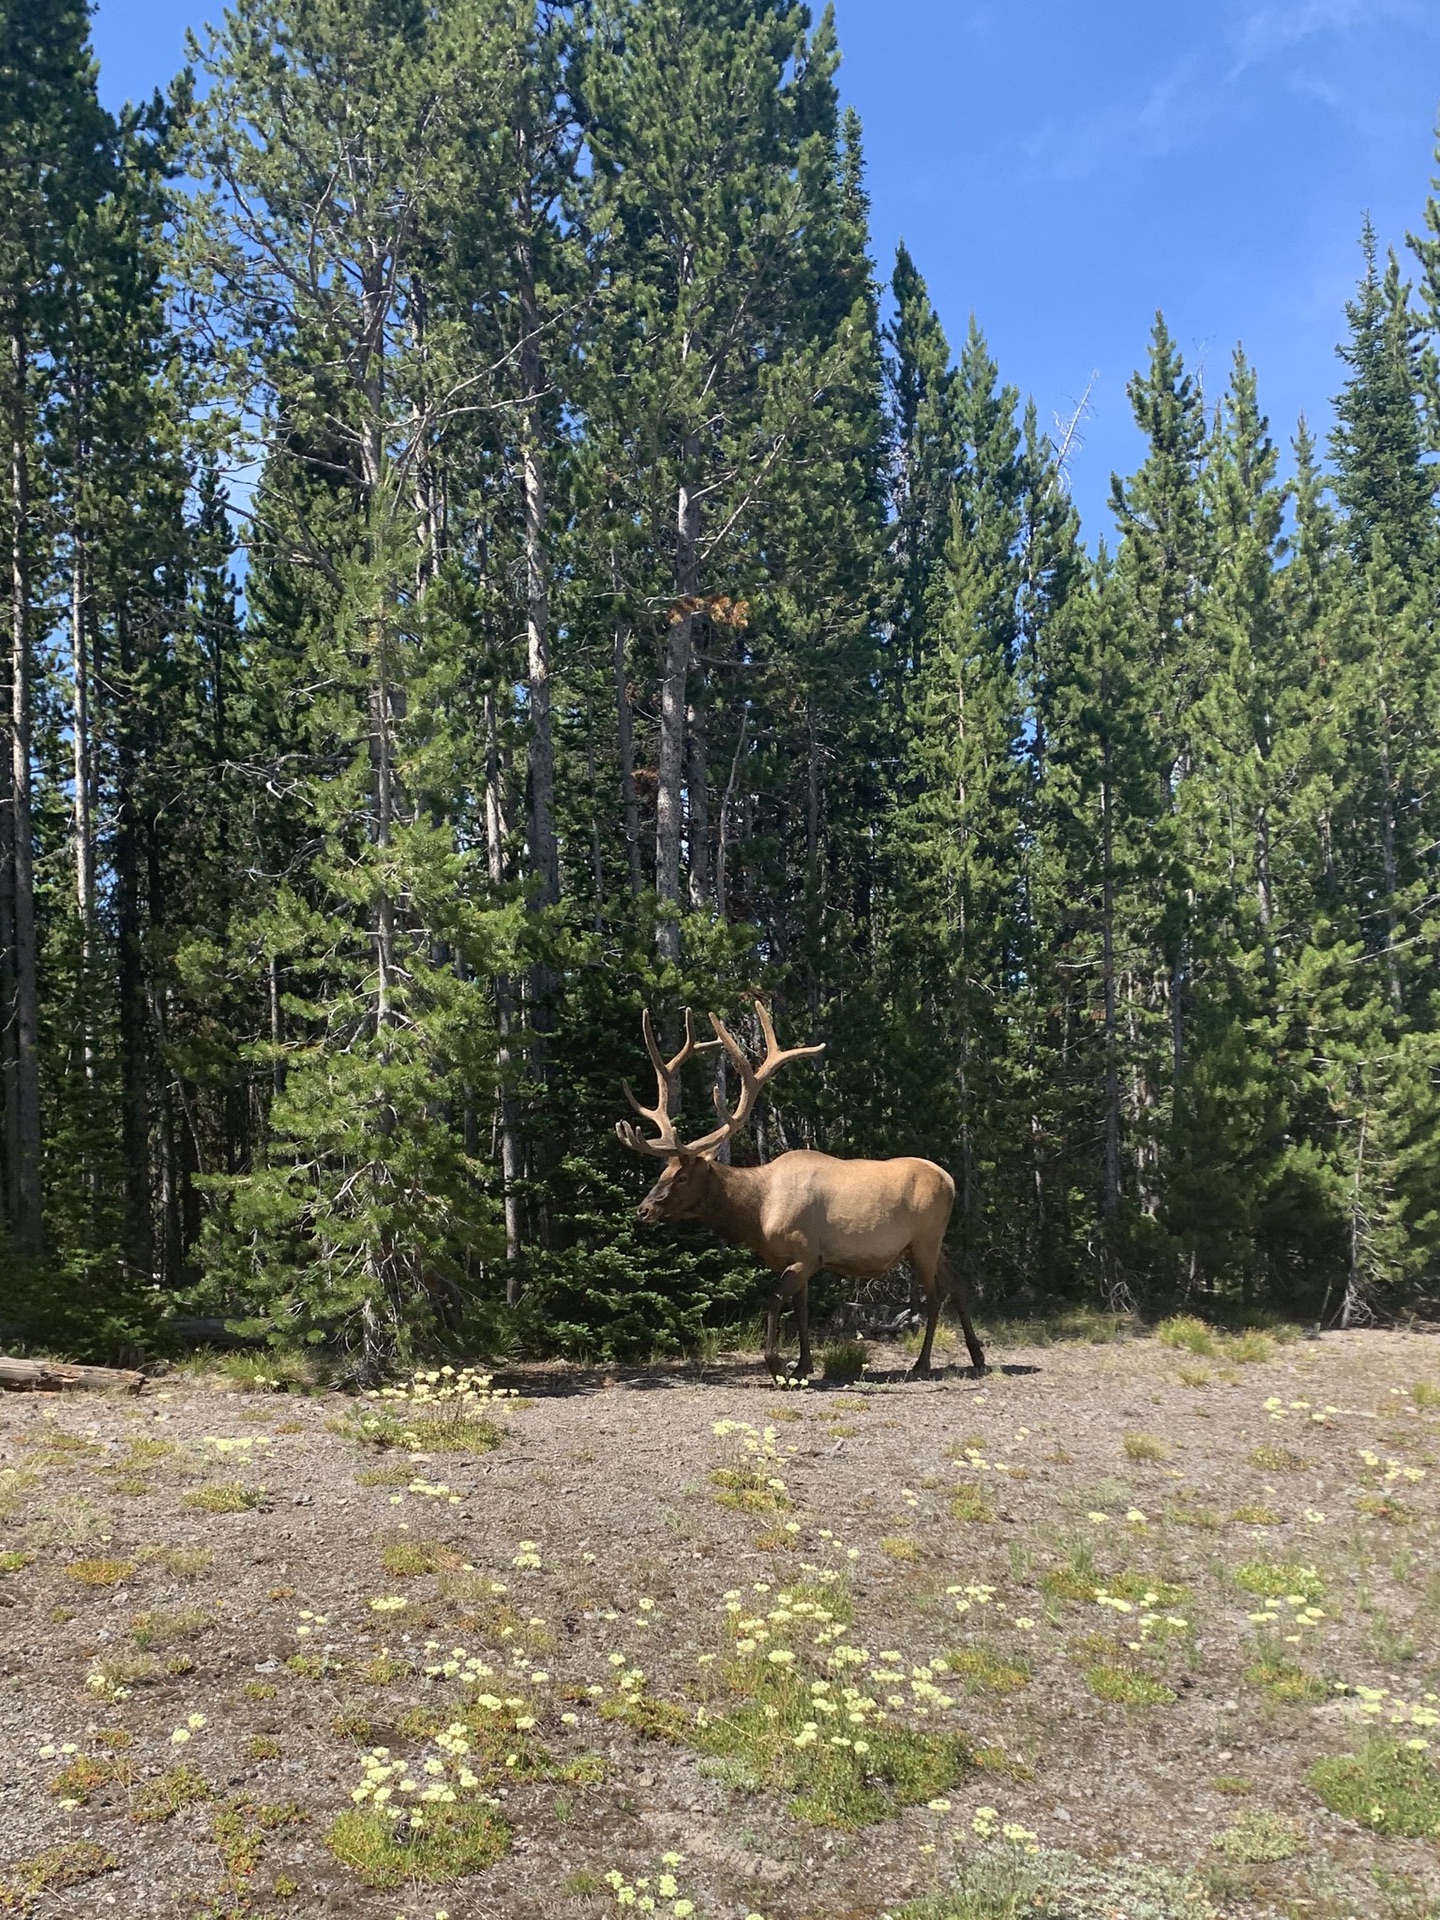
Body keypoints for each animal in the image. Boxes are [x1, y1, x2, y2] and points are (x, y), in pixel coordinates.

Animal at [614, 1006, 990, 1382]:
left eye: (682, 1176)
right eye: (663, 1171)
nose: (643, 1209)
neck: (757, 1214)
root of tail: (951, 1181)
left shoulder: (805, 1254)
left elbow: (773, 1301)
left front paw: (777, 1365)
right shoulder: (798, 1260)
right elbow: (801, 1310)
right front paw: (803, 1366)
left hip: (925, 1240)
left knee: (935, 1294)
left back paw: (922, 1364)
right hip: (930, 1242)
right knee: (957, 1283)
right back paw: (977, 1356)